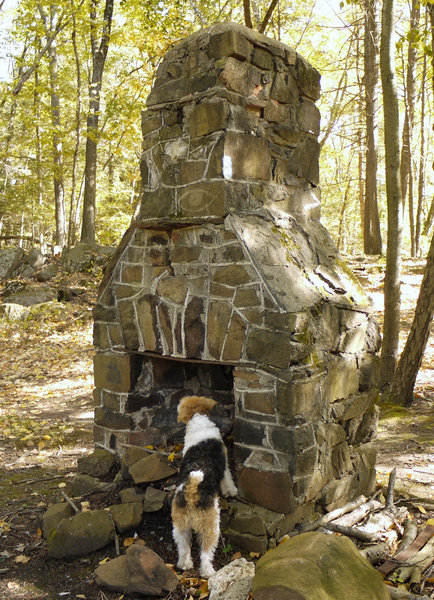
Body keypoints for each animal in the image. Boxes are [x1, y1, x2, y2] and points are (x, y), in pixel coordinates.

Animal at [170, 394, 237, 576]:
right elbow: (228, 480)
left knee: (183, 548)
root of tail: (192, 492)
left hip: (180, 526)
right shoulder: (225, 466)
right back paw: (208, 572)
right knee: (206, 553)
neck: (198, 421)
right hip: (211, 525)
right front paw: (232, 492)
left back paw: (184, 565)